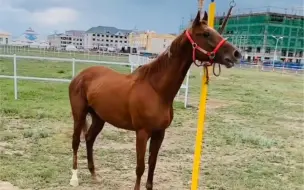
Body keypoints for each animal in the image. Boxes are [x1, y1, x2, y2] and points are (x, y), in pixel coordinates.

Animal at [67, 11, 241, 189]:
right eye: (206, 34)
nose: (236, 54)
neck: (156, 91)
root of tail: (80, 76)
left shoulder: (159, 134)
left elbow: (152, 164)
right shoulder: (142, 133)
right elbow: (140, 167)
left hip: (99, 118)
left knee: (89, 139)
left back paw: (94, 175)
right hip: (79, 115)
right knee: (76, 141)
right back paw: (74, 178)